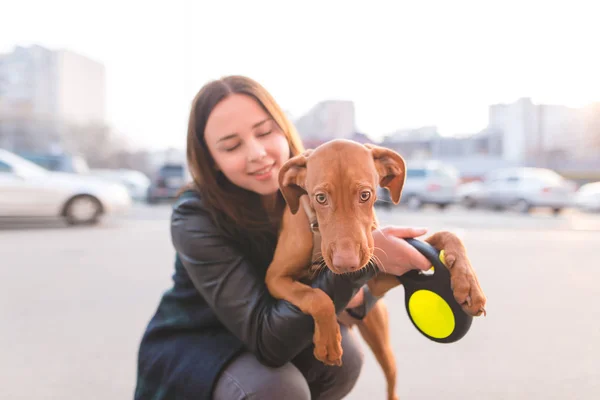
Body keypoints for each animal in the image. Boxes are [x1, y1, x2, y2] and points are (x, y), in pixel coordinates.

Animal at [264, 139, 486, 398]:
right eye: (320, 198)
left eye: (365, 195)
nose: (346, 264)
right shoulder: (275, 278)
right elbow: (317, 297)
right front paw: (328, 342)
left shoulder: (377, 276)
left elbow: (448, 234)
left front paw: (469, 285)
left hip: (381, 340)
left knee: (391, 382)